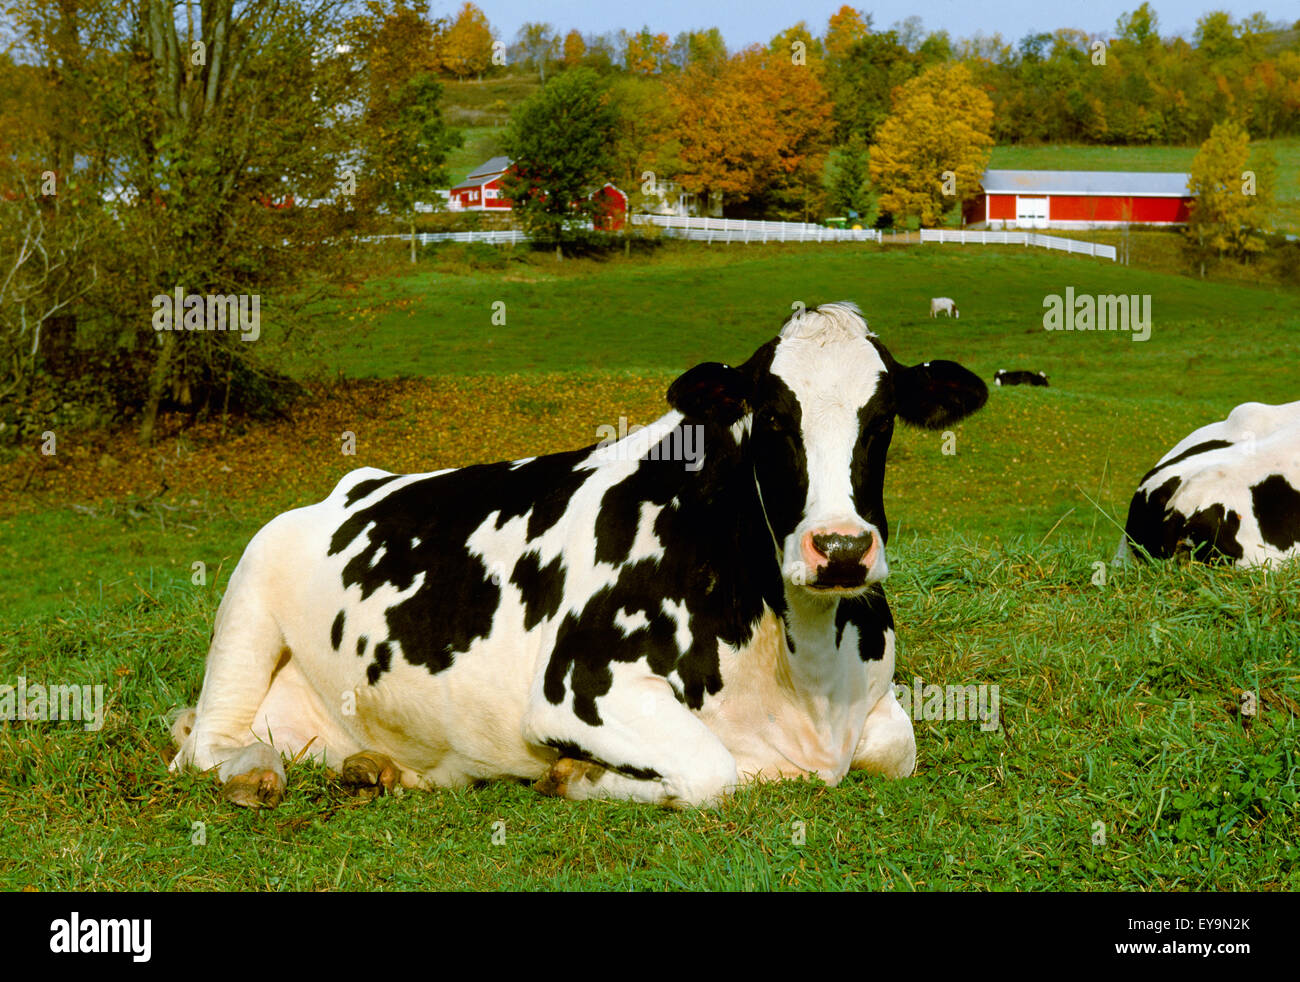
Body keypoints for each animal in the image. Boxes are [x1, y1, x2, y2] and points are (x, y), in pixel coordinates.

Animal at [170, 303, 982, 811]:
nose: (841, 548)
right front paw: (575, 777)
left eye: (883, 418)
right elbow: (714, 772)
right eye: (773, 416)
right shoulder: (579, 688)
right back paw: (256, 776)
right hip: (246, 610)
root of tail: (349, 483)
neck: (803, 670)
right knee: (203, 746)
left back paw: (380, 770)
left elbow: (897, 747)